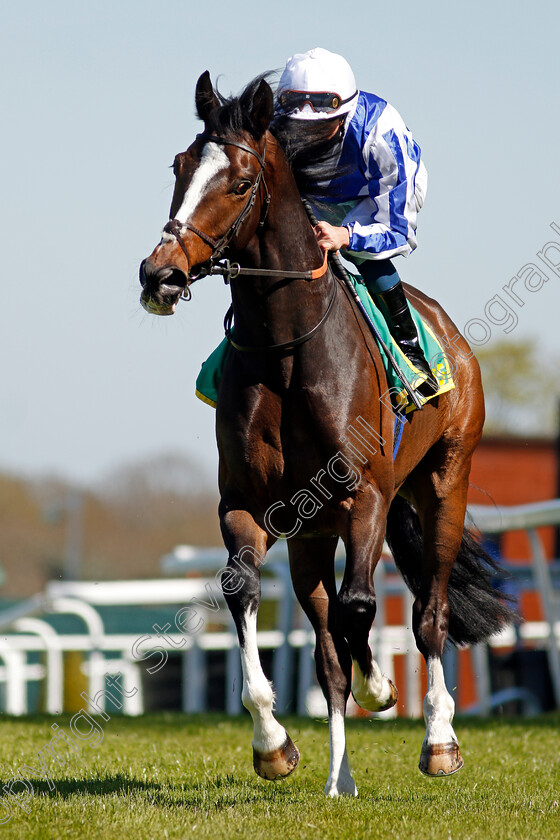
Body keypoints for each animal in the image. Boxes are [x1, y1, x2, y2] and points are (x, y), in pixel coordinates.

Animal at [138, 70, 516, 796]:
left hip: (443, 485)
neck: (288, 349)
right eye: (178, 167)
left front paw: (384, 689)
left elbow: (363, 606)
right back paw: (341, 780)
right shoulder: (250, 505)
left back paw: (439, 737)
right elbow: (248, 593)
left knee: (428, 612)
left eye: (239, 182)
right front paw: (273, 743)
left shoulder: (366, 497)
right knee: (326, 647)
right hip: (310, 535)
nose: (159, 274)